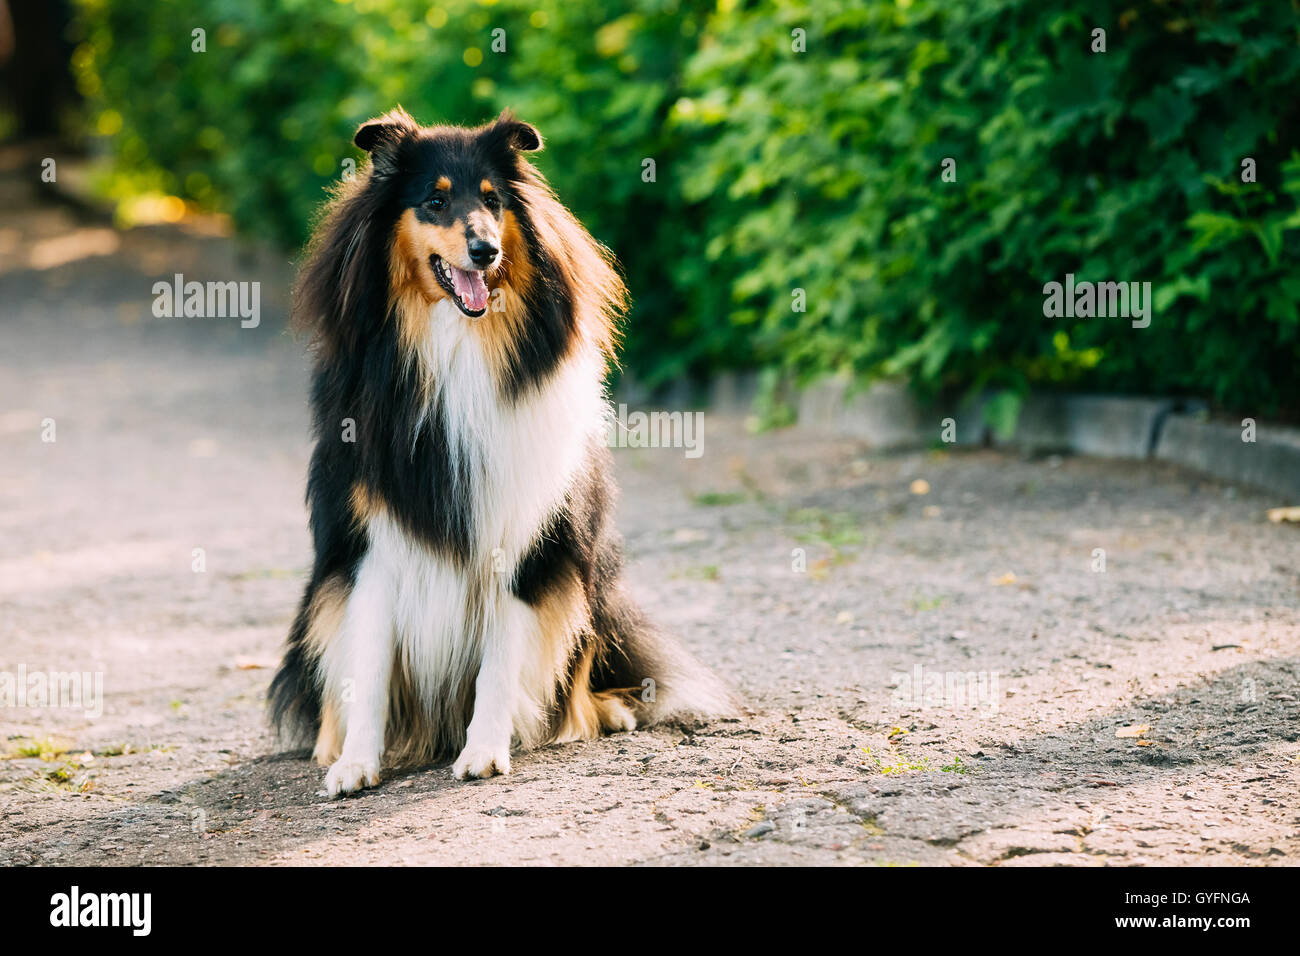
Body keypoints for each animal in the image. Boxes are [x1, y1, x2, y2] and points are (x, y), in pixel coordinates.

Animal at [266, 108, 733, 796]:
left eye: (493, 201)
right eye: (435, 200)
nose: (486, 250)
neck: (456, 342)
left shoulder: (525, 535)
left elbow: (501, 661)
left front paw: (485, 750)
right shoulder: (371, 541)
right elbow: (369, 662)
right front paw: (356, 762)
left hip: (589, 576)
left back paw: (600, 713)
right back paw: (331, 743)